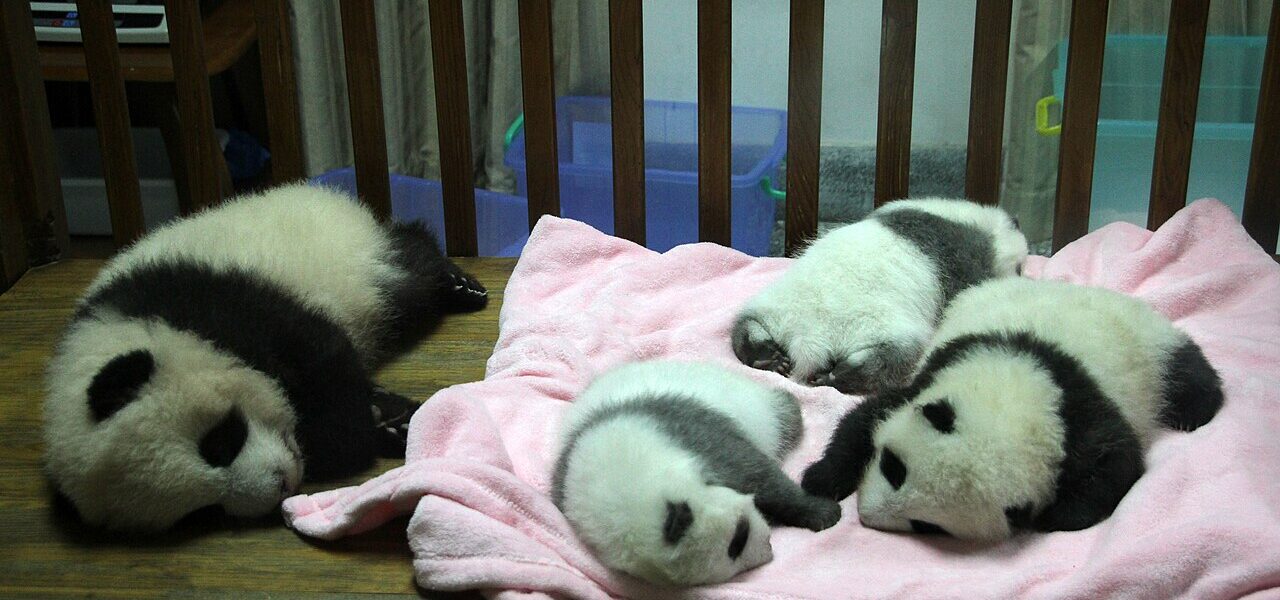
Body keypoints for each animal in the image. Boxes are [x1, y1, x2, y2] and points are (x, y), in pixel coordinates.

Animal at [43, 183, 488, 532]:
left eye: (221, 440)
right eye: (202, 512)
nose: (281, 486)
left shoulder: (225, 303)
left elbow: (325, 362)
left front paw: (369, 427)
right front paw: (387, 419)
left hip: (354, 259)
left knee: (406, 267)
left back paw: (457, 284)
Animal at [551, 360, 841, 586]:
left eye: (739, 536)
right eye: (736, 547)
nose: (768, 549)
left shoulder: (689, 431)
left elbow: (759, 476)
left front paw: (823, 513)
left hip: (755, 406)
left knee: (784, 417)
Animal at [732, 198, 1028, 396]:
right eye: (1021, 268)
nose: (1022, 274)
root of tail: (809, 340)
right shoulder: (965, 257)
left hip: (775, 305)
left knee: (746, 326)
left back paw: (765, 355)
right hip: (876, 327)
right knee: (890, 360)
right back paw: (839, 375)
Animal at [800, 277, 1224, 540]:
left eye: (927, 525)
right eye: (893, 467)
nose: (867, 516)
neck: (1017, 389)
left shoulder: (1083, 413)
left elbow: (1117, 464)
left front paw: (1058, 516)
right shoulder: (947, 364)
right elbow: (866, 419)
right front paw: (820, 479)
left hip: (1151, 346)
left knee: (1188, 373)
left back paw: (1195, 412)